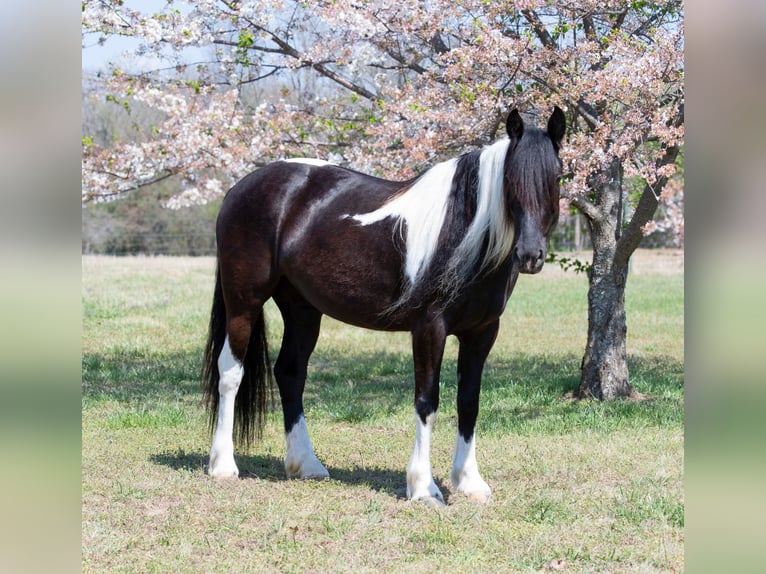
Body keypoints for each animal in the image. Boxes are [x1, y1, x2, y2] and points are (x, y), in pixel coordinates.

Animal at [202, 107, 565, 505]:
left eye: (557, 176)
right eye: (510, 178)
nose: (530, 255)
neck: (464, 234)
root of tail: (240, 188)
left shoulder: (482, 333)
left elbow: (469, 402)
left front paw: (469, 482)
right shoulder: (429, 329)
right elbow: (427, 400)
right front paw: (423, 487)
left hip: (302, 310)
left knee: (290, 373)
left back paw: (307, 464)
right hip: (243, 301)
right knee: (230, 372)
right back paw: (223, 465)